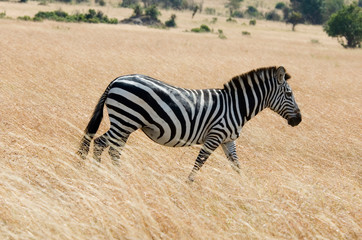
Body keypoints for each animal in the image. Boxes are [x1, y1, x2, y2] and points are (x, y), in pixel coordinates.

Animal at [77, 66, 302, 182]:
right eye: (289, 94)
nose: (298, 120)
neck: (236, 106)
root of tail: (117, 79)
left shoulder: (228, 140)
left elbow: (236, 165)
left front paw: (245, 187)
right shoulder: (215, 136)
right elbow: (199, 162)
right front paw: (188, 184)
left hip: (125, 123)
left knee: (113, 148)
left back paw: (117, 175)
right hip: (124, 120)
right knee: (101, 143)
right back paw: (100, 174)